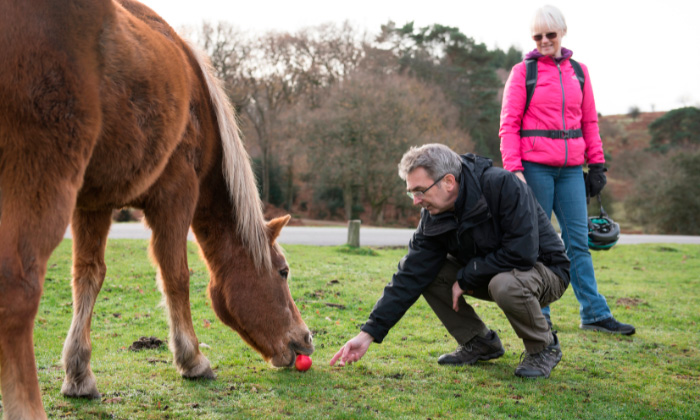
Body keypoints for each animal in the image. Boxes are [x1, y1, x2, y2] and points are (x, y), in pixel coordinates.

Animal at [0, 0, 314, 416]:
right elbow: (175, 276)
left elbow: (88, 276)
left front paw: (78, 374)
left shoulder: (93, 204)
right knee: (17, 289)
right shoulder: (175, 196)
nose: (306, 339)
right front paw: (192, 359)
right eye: (283, 271)